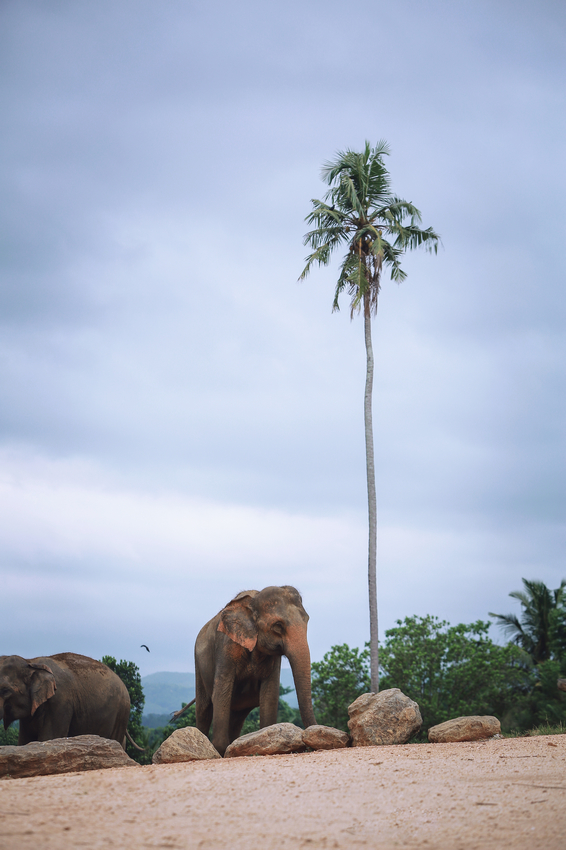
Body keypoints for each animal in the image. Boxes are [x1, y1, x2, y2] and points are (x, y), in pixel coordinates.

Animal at [0, 648, 130, 744]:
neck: (31, 661)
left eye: (5, 690)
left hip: (121, 713)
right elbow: (24, 741)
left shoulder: (59, 703)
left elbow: (50, 737)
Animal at [194, 584, 320, 756]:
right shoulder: (226, 645)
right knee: (204, 709)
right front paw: (220, 750)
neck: (253, 600)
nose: (308, 746)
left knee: (236, 716)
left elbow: (270, 694)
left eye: (307, 619)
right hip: (199, 664)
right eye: (278, 626)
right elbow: (221, 691)